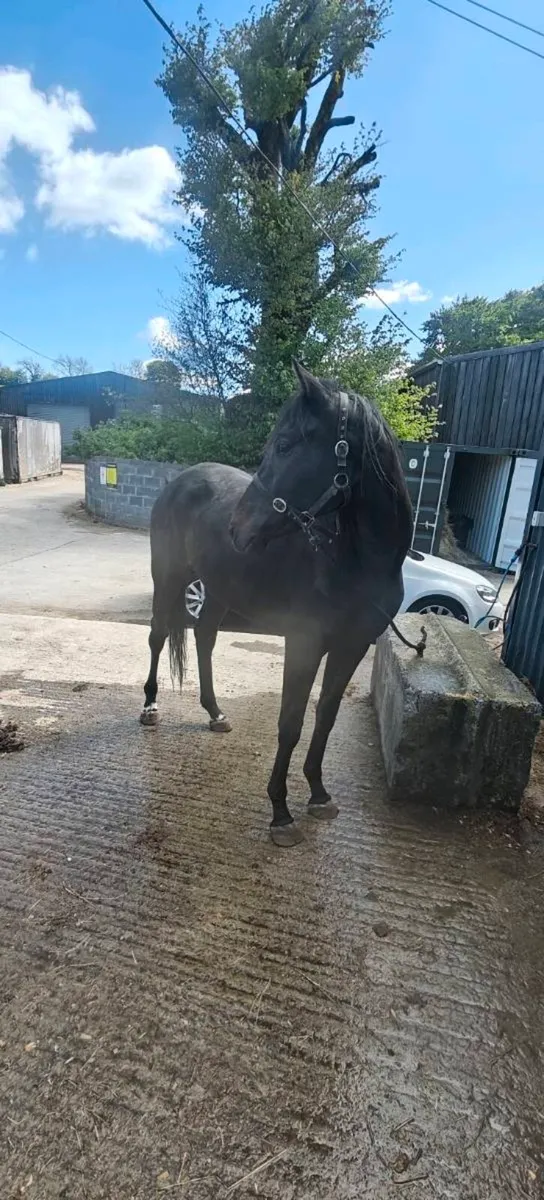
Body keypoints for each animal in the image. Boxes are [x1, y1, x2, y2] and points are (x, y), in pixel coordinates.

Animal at [140, 360, 414, 847]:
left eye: (285, 445)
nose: (238, 528)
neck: (353, 561)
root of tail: (181, 480)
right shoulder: (303, 643)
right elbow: (290, 723)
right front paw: (281, 813)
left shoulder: (353, 646)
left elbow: (325, 716)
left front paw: (319, 794)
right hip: (168, 580)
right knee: (157, 636)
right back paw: (150, 707)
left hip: (218, 591)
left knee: (205, 638)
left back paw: (215, 713)